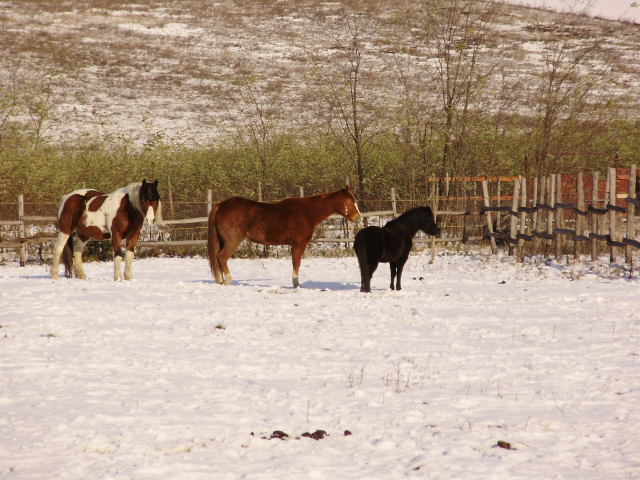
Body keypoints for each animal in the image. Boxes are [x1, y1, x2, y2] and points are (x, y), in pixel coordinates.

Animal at [210, 186, 360, 286]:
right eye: (351, 201)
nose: (358, 217)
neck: (308, 211)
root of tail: (220, 205)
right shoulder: (299, 244)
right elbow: (296, 263)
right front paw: (296, 285)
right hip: (232, 241)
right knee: (222, 257)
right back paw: (227, 280)